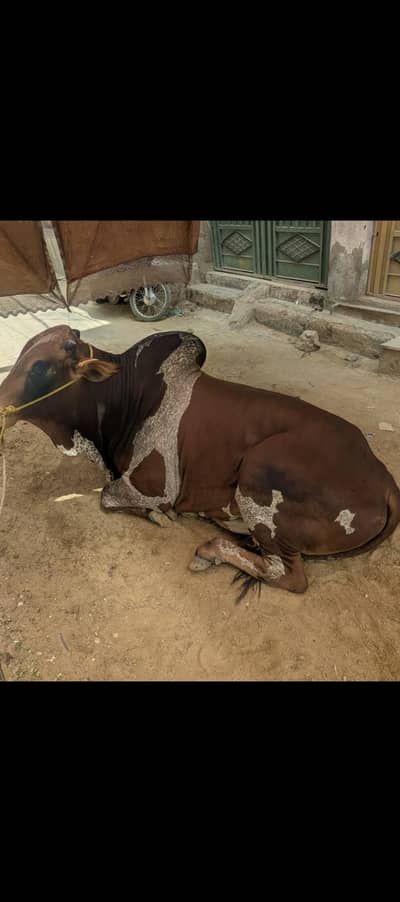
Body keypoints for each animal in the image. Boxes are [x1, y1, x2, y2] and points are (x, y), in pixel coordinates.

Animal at [1, 324, 399, 599]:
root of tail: (382, 478)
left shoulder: (154, 488)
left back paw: (209, 549)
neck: (123, 401)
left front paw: (160, 517)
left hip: (259, 471)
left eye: (39, 367)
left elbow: (109, 496)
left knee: (289, 576)